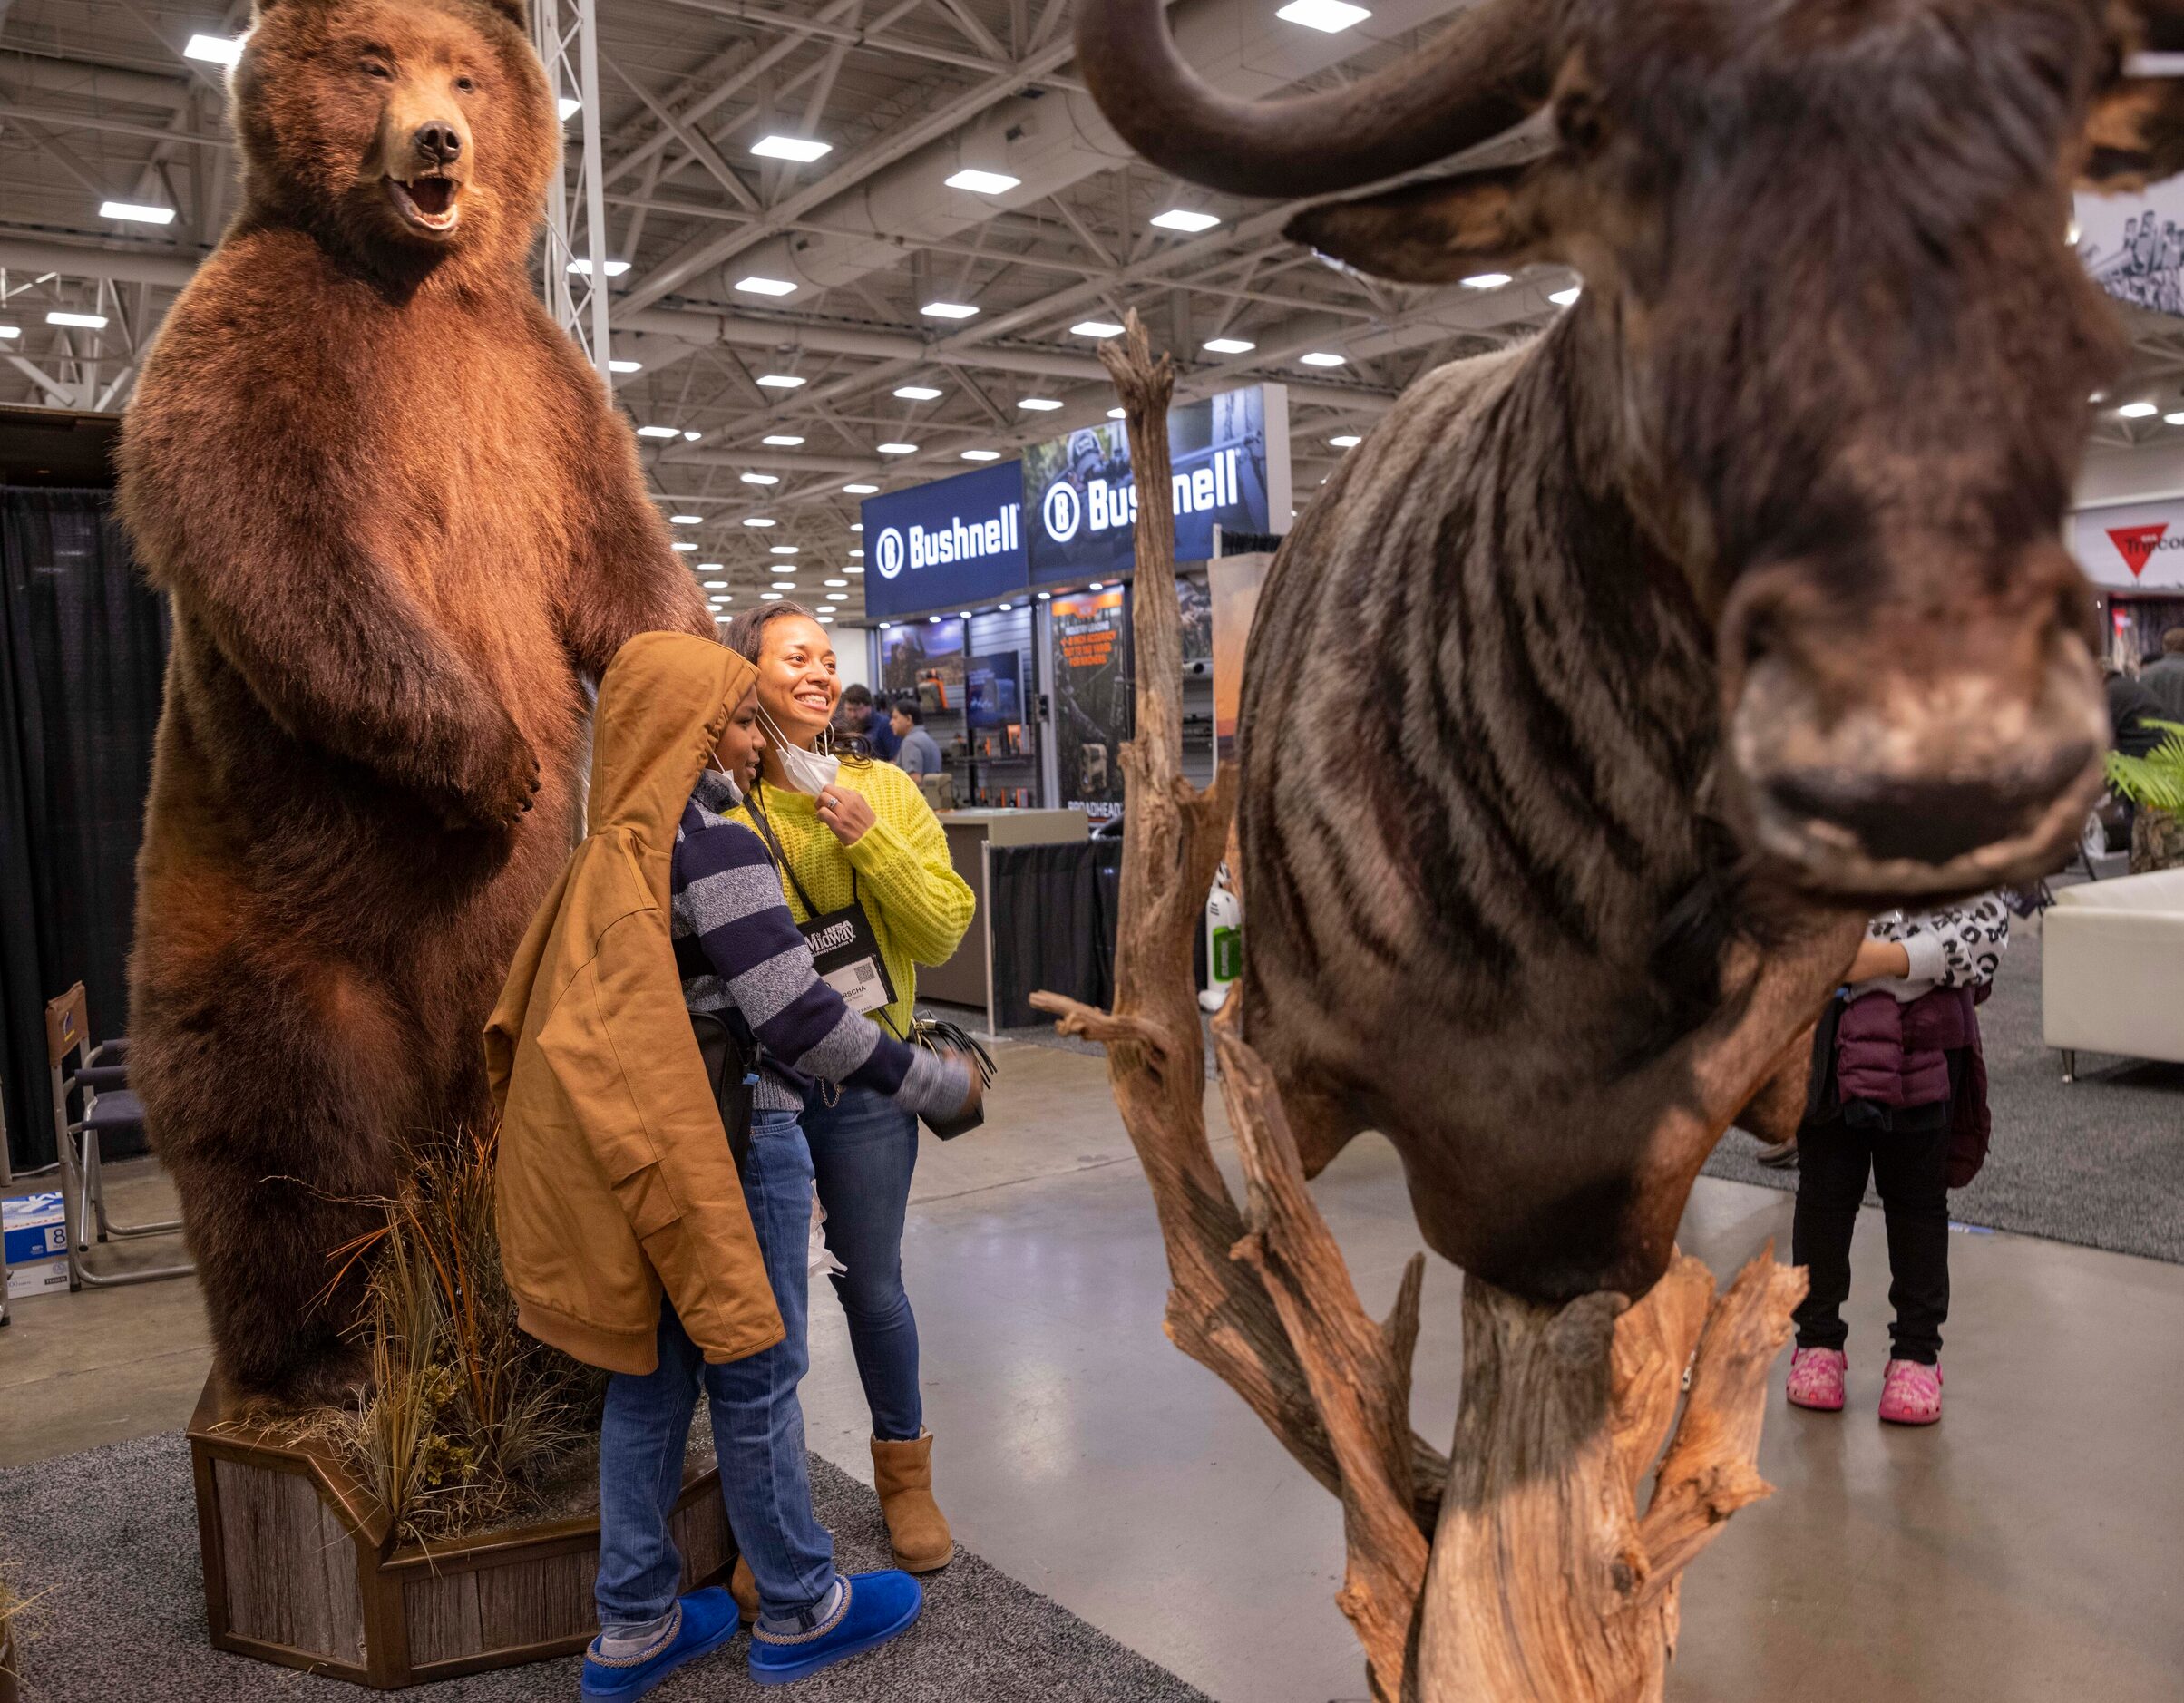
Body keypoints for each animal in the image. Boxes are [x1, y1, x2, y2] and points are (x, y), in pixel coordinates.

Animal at [119, 0, 707, 1406]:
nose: (438, 139)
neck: (412, 281)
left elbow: (614, 549)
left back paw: (525, 1316)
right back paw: (323, 1359)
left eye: (467, 74)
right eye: (373, 62)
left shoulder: (539, 385)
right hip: (267, 931)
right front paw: (496, 761)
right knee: (286, 1122)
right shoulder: (254, 341)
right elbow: (290, 549)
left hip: (525, 940)